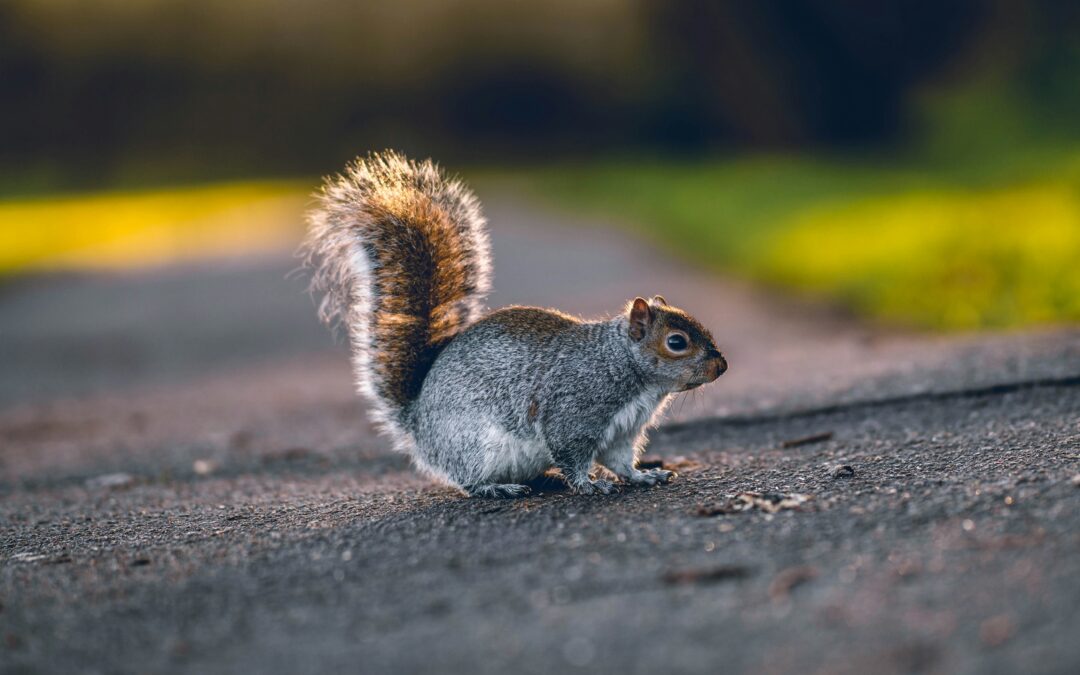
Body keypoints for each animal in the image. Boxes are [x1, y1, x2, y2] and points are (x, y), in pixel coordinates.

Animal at [303, 151, 727, 498]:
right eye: (676, 342)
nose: (721, 366)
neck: (622, 366)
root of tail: (418, 422)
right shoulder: (574, 410)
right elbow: (572, 452)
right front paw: (589, 484)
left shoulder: (621, 431)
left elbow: (621, 460)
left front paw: (643, 476)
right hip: (475, 445)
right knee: (468, 481)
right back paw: (498, 487)